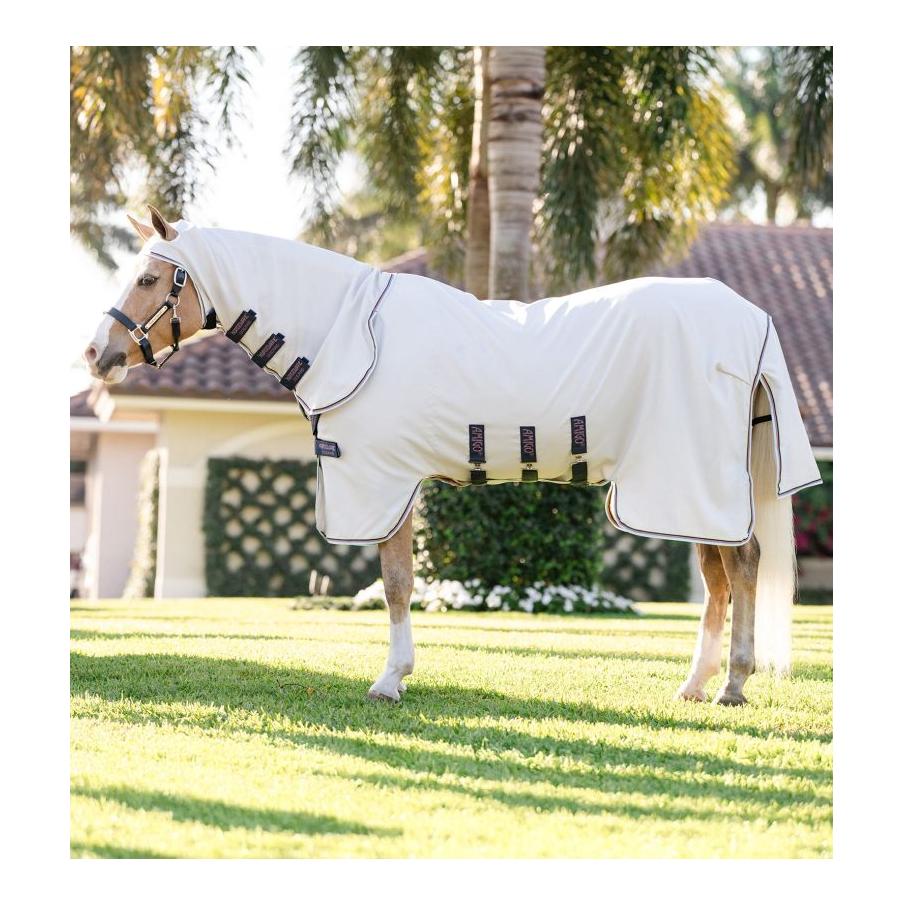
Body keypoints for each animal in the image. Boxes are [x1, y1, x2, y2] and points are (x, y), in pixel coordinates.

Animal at [84, 206, 820, 707]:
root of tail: (750, 318)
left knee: (743, 567)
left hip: (690, 481)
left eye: (149, 277)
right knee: (720, 578)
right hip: (686, 487)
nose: (97, 354)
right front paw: (397, 673)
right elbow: (399, 581)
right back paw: (696, 684)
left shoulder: (384, 482)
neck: (350, 332)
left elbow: (396, 582)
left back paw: (732, 685)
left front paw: (390, 679)